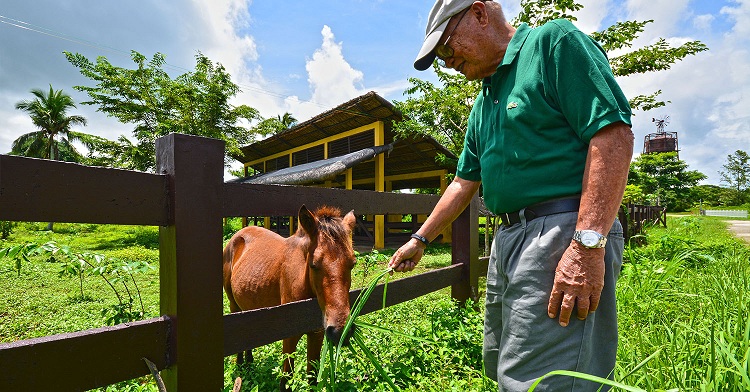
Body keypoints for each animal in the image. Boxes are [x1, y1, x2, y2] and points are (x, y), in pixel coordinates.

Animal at [223, 205, 358, 388]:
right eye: (314, 264)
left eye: (353, 263)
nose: (340, 330)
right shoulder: (289, 337)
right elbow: (286, 379)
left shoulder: (316, 334)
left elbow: (312, 379)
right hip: (234, 306)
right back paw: (240, 367)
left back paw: (249, 364)